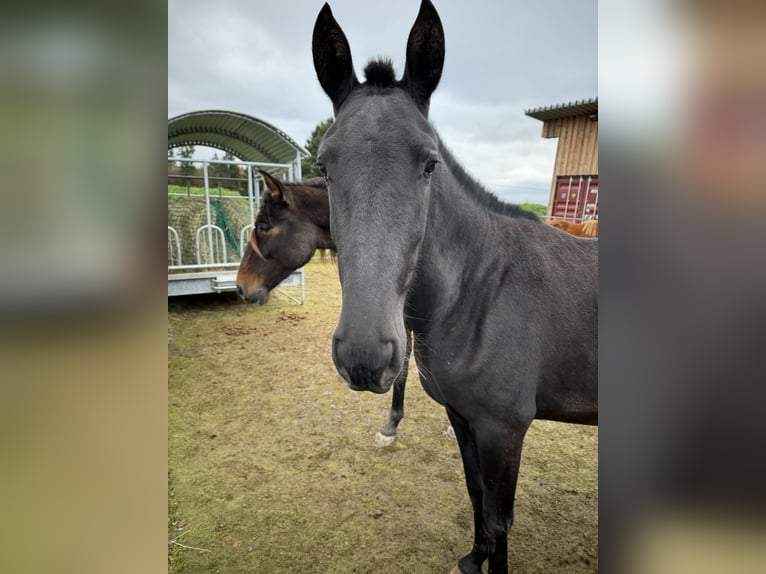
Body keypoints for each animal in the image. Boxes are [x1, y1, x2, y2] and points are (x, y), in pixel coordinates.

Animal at [312, 2, 600, 572]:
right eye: (324, 167)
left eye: (429, 163)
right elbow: (475, 495)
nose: (364, 357)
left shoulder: (505, 431)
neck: (481, 293)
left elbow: (500, 517)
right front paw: (473, 558)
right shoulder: (464, 419)